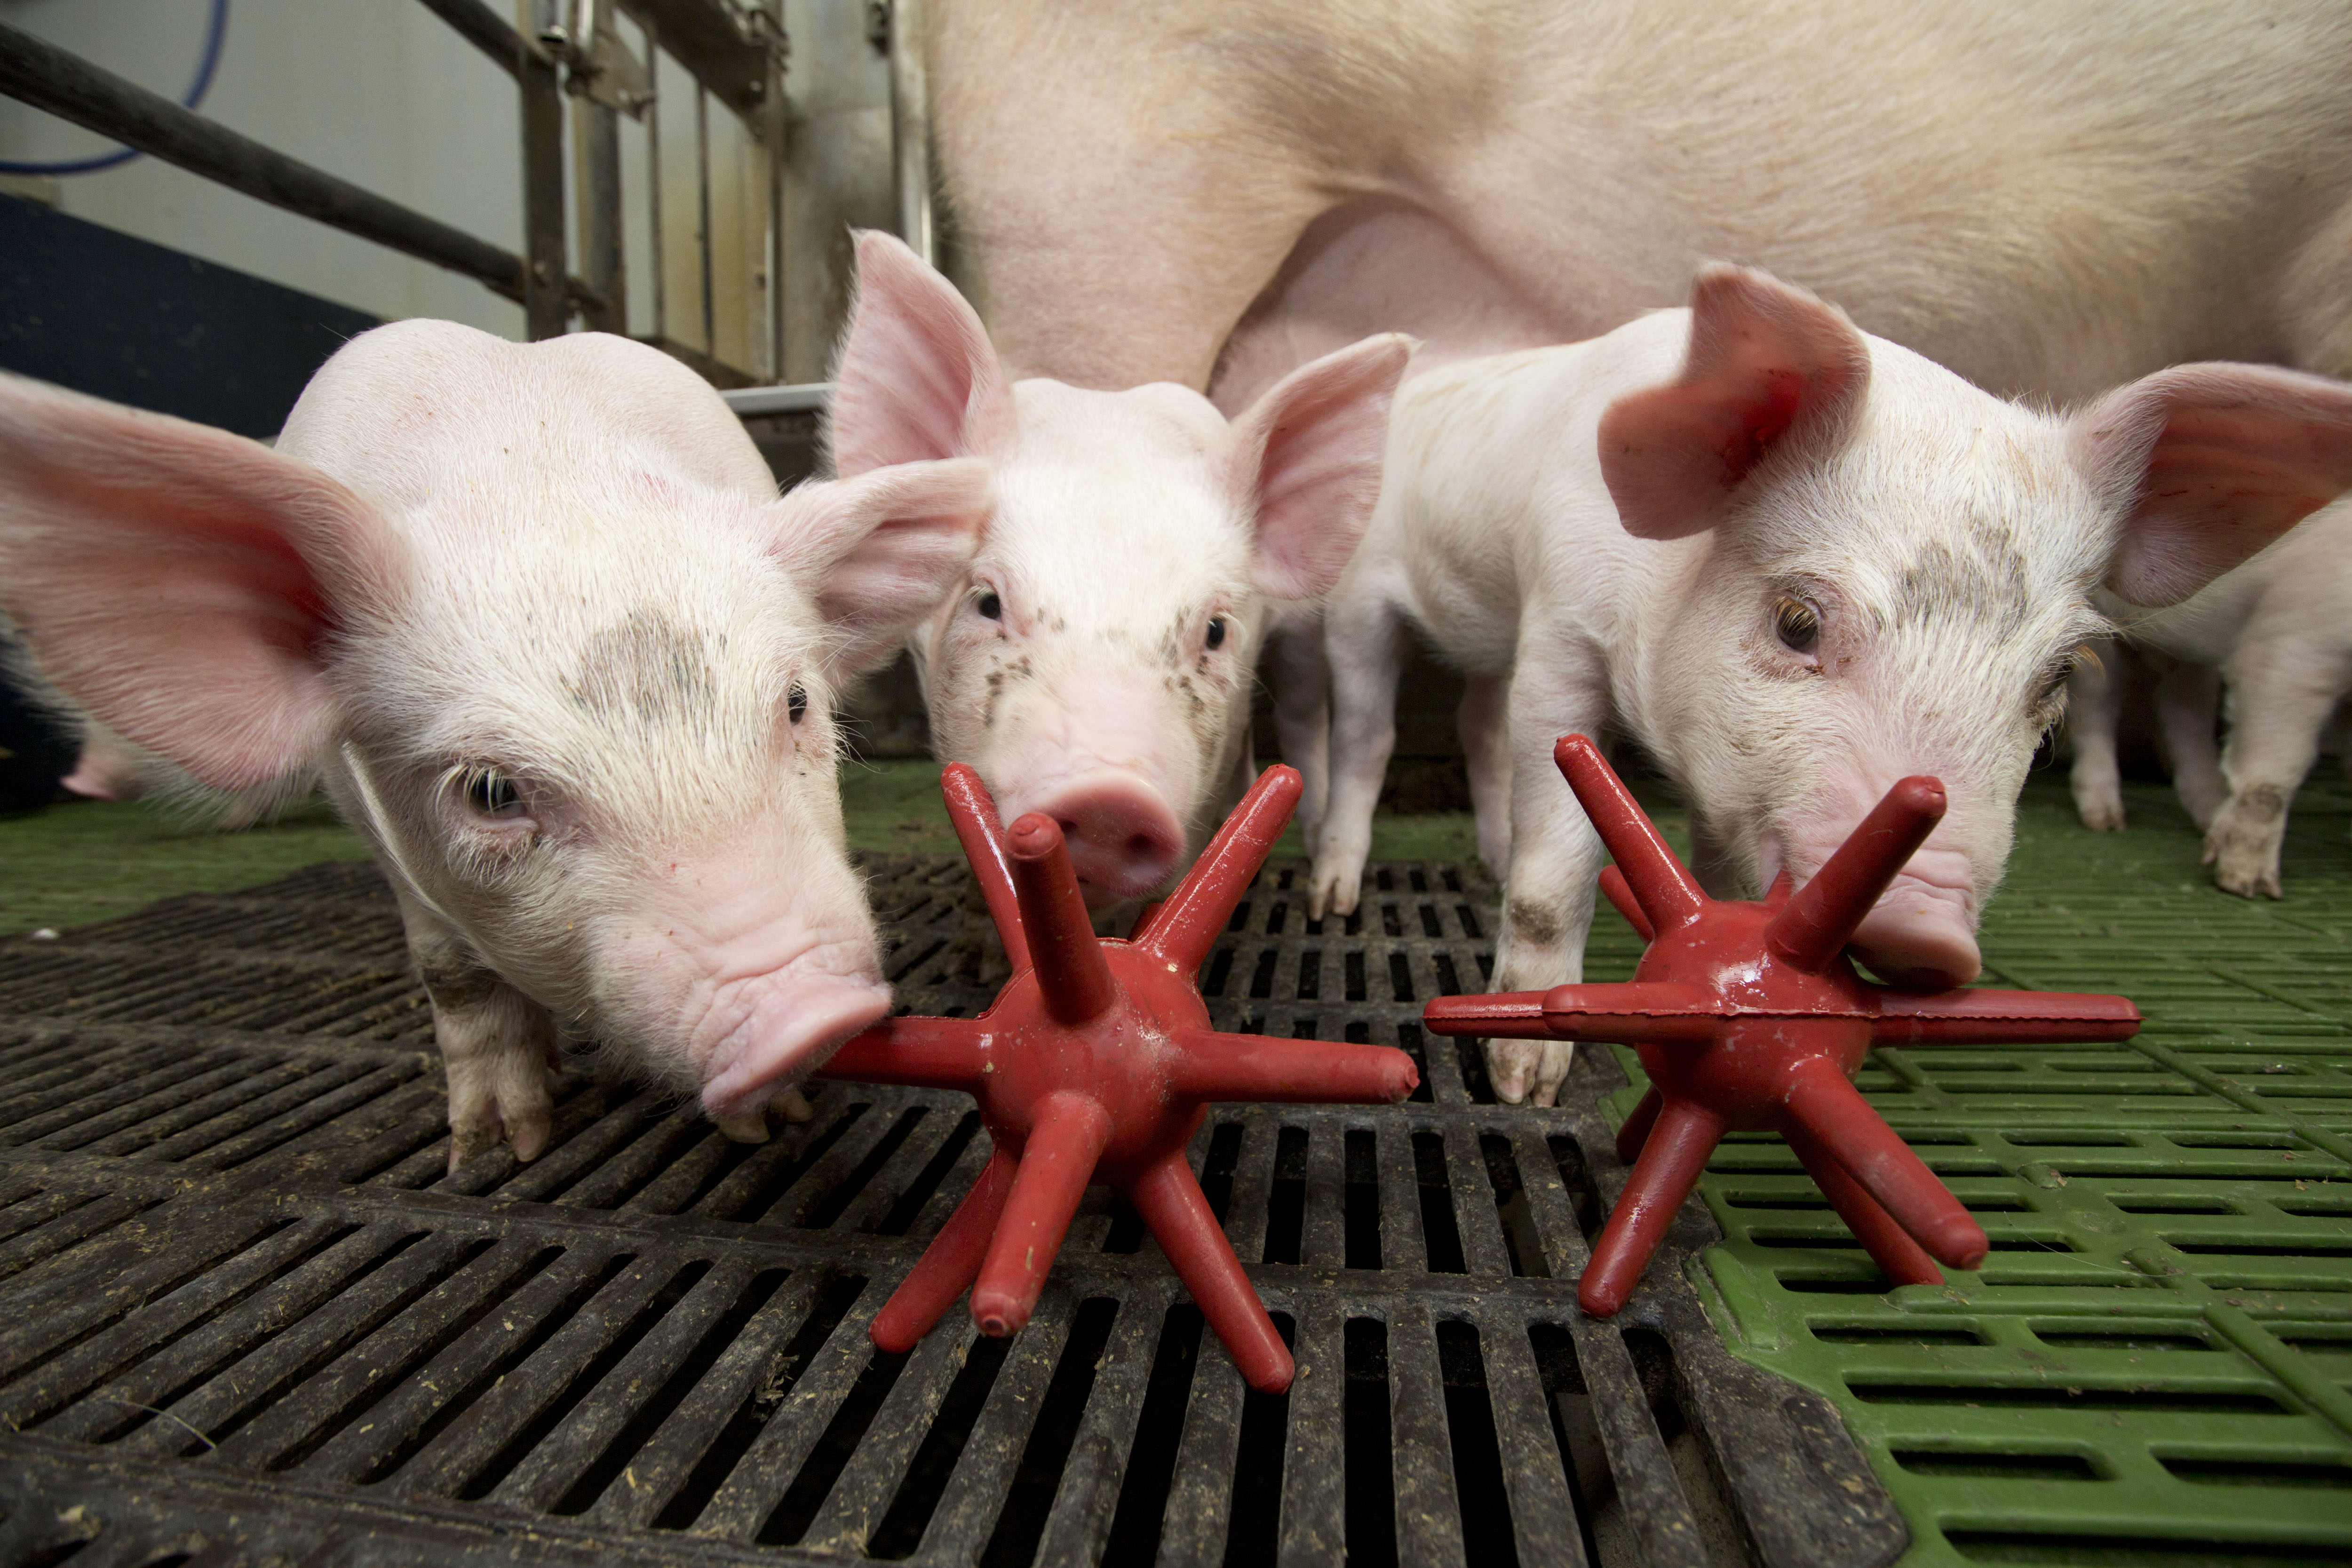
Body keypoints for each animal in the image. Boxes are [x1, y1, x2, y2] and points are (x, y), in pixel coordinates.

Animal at [0, 322, 992, 1167]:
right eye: (488, 790)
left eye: (794, 704)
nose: (810, 1012)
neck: (541, 477)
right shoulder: (378, 827)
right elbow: (454, 978)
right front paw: (496, 1150)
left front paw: (779, 1123)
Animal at [2067, 496, 2352, 897]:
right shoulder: (2294, 641)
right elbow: (2273, 774)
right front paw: (2250, 887)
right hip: (2096, 628)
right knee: (2096, 709)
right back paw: (2108, 822)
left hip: (2188, 653)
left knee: (2183, 715)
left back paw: (2207, 814)